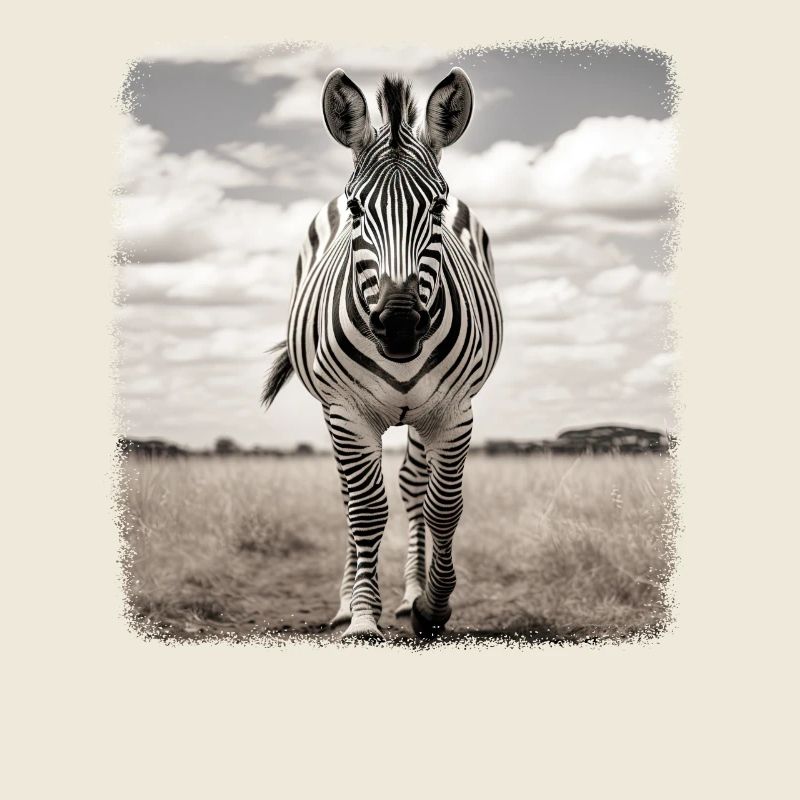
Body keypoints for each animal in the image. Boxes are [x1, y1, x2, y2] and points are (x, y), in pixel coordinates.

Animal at [263, 68, 503, 640]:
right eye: (356, 209)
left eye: (437, 207)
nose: (398, 325)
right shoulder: (346, 412)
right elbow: (366, 510)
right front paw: (362, 619)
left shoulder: (453, 410)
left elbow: (444, 507)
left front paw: (432, 606)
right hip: (336, 412)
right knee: (351, 497)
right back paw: (346, 602)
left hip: (419, 416)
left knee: (414, 488)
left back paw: (411, 594)